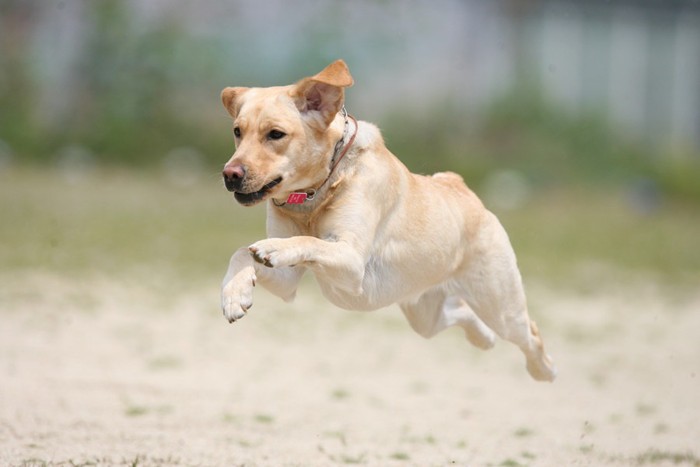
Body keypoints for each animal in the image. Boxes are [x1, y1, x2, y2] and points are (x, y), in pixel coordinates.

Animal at [221, 59, 556, 380]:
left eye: (276, 134)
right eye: (237, 131)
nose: (230, 174)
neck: (314, 194)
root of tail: (458, 185)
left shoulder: (352, 261)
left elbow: (307, 241)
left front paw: (274, 248)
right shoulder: (287, 281)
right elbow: (241, 253)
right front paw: (234, 294)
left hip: (501, 306)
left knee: (529, 332)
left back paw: (543, 369)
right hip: (424, 313)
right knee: (461, 313)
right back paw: (483, 339)